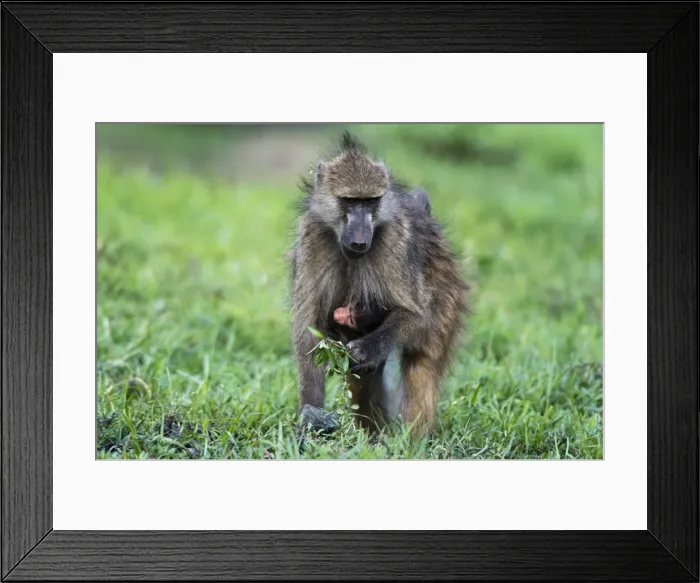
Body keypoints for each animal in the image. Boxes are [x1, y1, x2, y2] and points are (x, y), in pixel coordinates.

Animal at [289, 132, 468, 436]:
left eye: (371, 201)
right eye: (349, 201)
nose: (360, 239)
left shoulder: (393, 245)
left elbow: (418, 316)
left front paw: (367, 350)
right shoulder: (311, 238)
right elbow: (309, 335)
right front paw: (311, 419)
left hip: (448, 293)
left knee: (421, 370)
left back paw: (412, 440)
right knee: (363, 386)